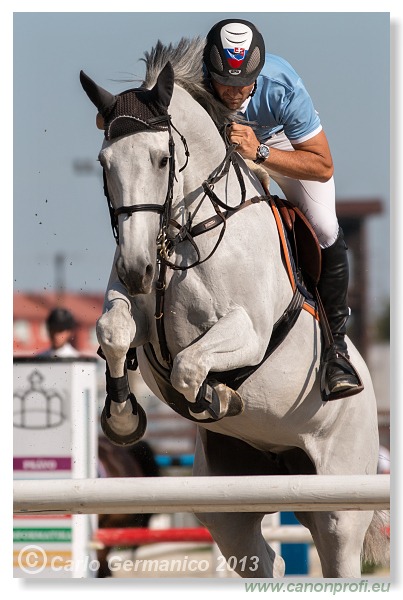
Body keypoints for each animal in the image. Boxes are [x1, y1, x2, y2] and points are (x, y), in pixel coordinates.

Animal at [80, 36, 386, 576]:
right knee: (264, 561)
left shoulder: (249, 331)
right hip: (229, 504)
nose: (138, 269)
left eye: (162, 160)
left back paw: (335, 374)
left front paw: (214, 397)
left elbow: (189, 364)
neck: (185, 228)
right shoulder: (129, 307)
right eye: (104, 164)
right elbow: (114, 333)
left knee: (338, 552)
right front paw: (122, 419)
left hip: (340, 504)